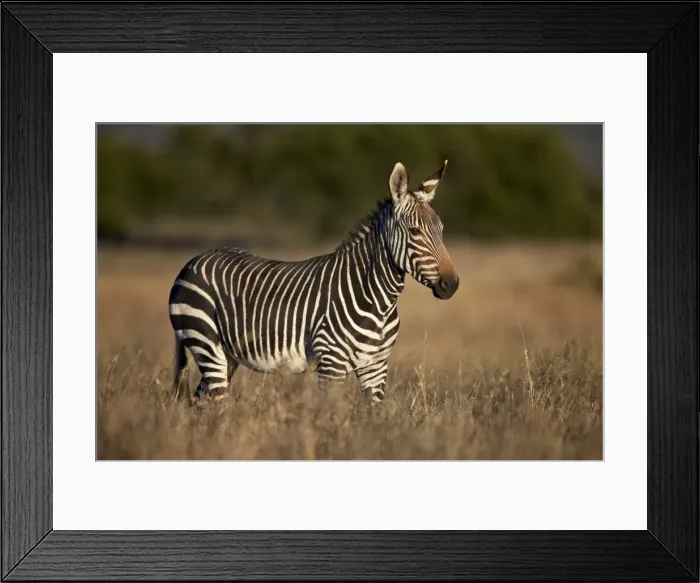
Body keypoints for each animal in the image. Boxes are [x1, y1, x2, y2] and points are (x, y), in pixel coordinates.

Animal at [168, 159, 459, 404]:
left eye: (441, 230)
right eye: (415, 231)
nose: (451, 284)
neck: (379, 301)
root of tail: (193, 261)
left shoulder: (376, 366)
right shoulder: (331, 363)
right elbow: (330, 418)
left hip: (226, 355)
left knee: (200, 403)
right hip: (206, 343)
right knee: (216, 405)